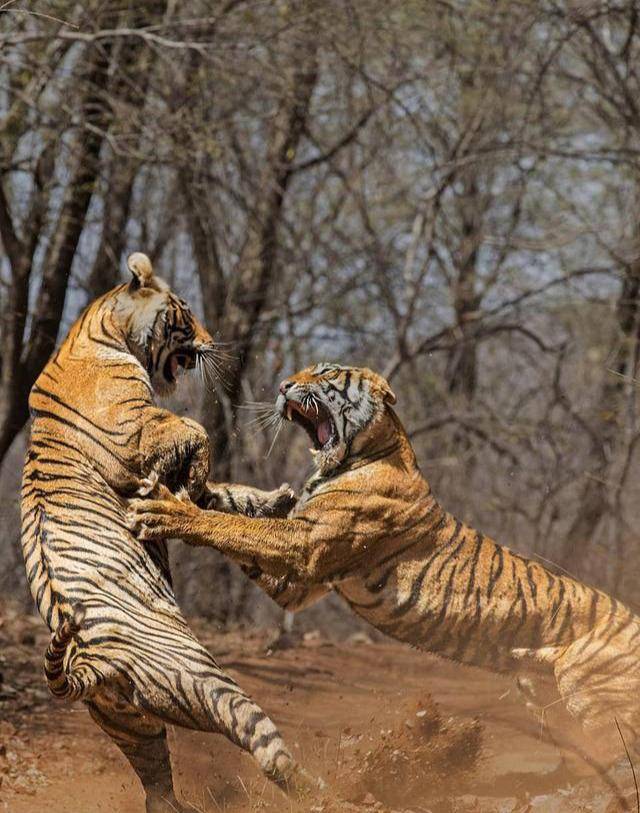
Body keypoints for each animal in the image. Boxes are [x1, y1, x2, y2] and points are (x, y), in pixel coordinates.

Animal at [20, 254, 315, 813]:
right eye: (185, 313)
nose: (211, 340)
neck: (98, 329)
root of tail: (94, 662)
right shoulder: (138, 429)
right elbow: (196, 435)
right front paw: (188, 484)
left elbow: (221, 498)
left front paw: (276, 500)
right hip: (206, 680)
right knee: (264, 746)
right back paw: (336, 785)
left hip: (131, 725)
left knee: (157, 784)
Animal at [130, 362, 640, 750]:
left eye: (324, 372)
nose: (282, 386)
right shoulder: (299, 585)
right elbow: (237, 513)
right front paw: (235, 491)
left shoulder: (306, 546)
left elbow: (236, 528)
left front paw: (169, 509)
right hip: (542, 693)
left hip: (589, 694)